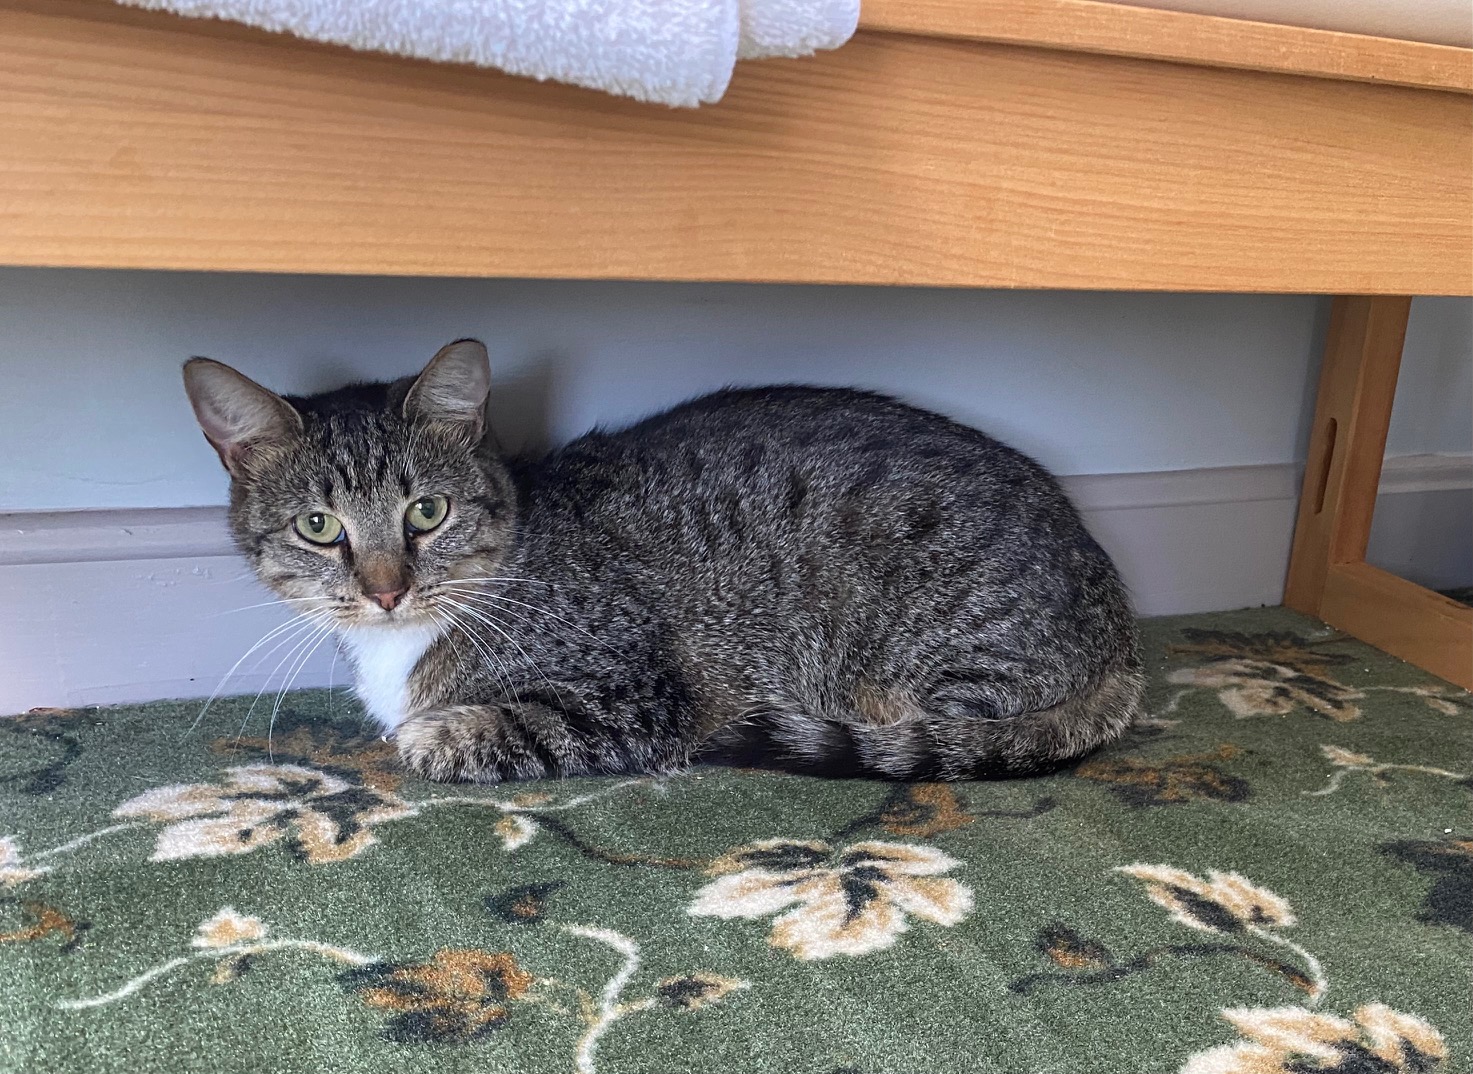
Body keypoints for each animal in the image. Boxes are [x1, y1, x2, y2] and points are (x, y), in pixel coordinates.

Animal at [184, 339, 1143, 783]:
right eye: (319, 527)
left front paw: (434, 735)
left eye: (427, 511)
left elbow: (493, 729)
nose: (386, 591)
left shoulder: (639, 691)